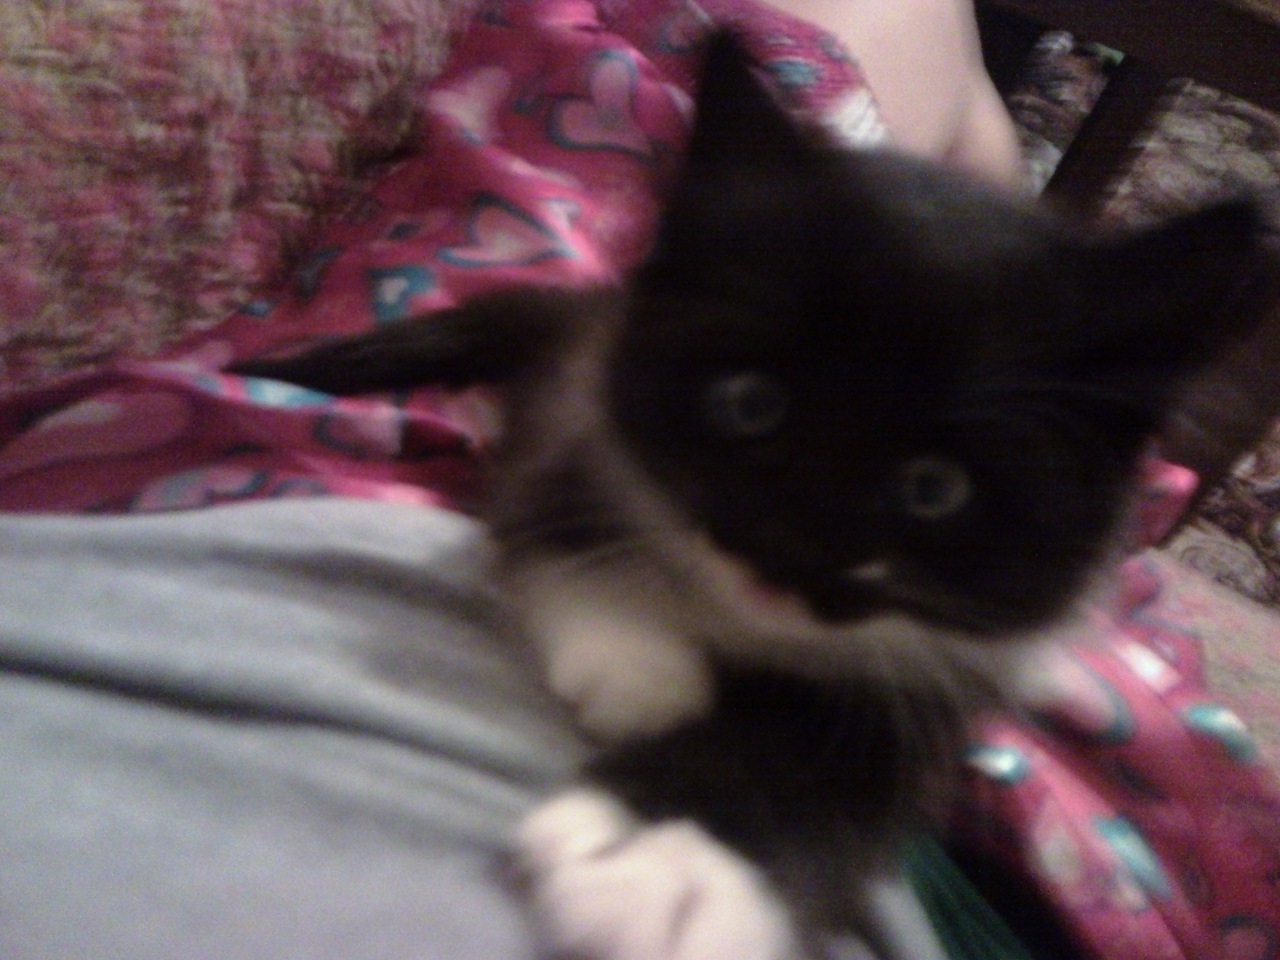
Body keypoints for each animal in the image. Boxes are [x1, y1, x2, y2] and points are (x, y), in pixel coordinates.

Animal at [233, 32, 1278, 960]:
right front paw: (637, 665)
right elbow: (557, 523)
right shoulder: (578, 423)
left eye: (936, 488)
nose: (787, 551)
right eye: (751, 404)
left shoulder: (942, 690)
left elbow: (835, 769)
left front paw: (663, 870)